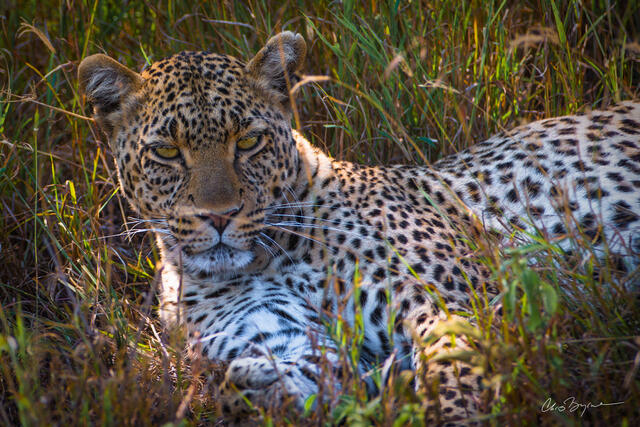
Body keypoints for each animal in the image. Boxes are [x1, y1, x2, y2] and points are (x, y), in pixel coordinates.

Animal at [78, 31, 640, 424]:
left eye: (250, 142)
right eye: (167, 152)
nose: (219, 216)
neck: (269, 257)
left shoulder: (461, 305)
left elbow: (455, 371)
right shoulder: (286, 339)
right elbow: (288, 375)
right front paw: (254, 391)